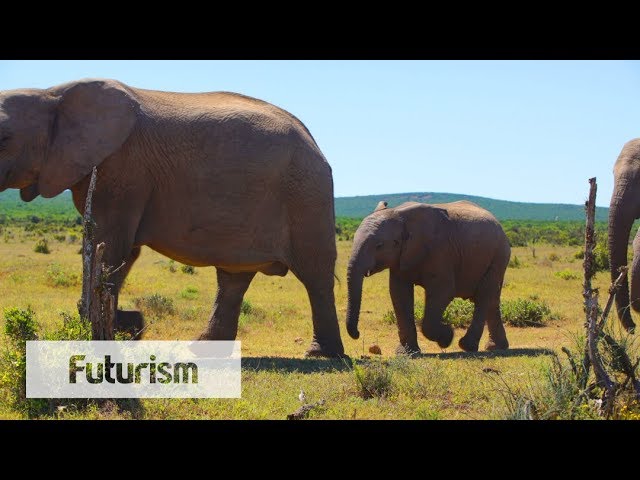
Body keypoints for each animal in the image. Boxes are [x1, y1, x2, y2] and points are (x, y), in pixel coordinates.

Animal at [0, 78, 344, 357]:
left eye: (4, 137)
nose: (135, 322)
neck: (51, 94)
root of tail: (314, 141)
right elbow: (120, 250)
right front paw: (126, 327)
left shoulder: (123, 170)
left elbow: (110, 246)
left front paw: (108, 332)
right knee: (234, 277)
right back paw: (203, 350)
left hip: (306, 195)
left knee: (315, 274)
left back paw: (321, 355)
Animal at [345, 200, 511, 354]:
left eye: (379, 245)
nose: (357, 334)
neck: (399, 213)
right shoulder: (401, 258)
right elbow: (399, 294)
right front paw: (407, 353)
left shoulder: (441, 250)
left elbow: (442, 292)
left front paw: (447, 337)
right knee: (492, 300)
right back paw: (496, 347)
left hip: (498, 256)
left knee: (484, 296)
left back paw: (467, 346)